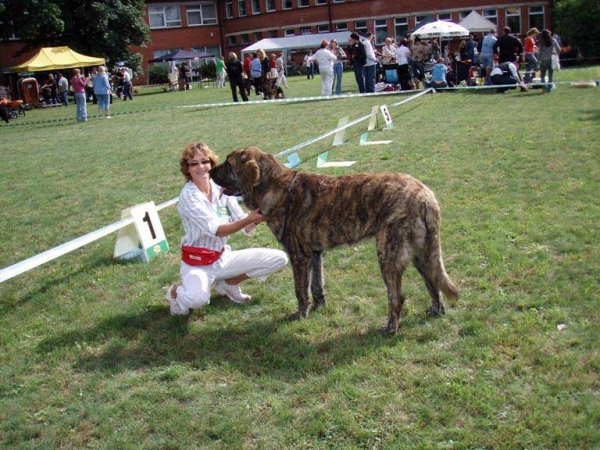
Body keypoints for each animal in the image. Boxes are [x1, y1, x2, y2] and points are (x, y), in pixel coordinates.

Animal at [211, 148, 460, 334]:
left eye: (228, 163)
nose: (210, 168)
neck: (276, 185)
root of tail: (425, 194)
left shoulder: (299, 257)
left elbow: (300, 291)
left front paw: (300, 314)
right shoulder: (314, 254)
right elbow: (317, 286)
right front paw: (319, 307)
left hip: (387, 255)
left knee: (397, 297)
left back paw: (390, 328)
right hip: (421, 252)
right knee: (432, 283)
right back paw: (437, 310)